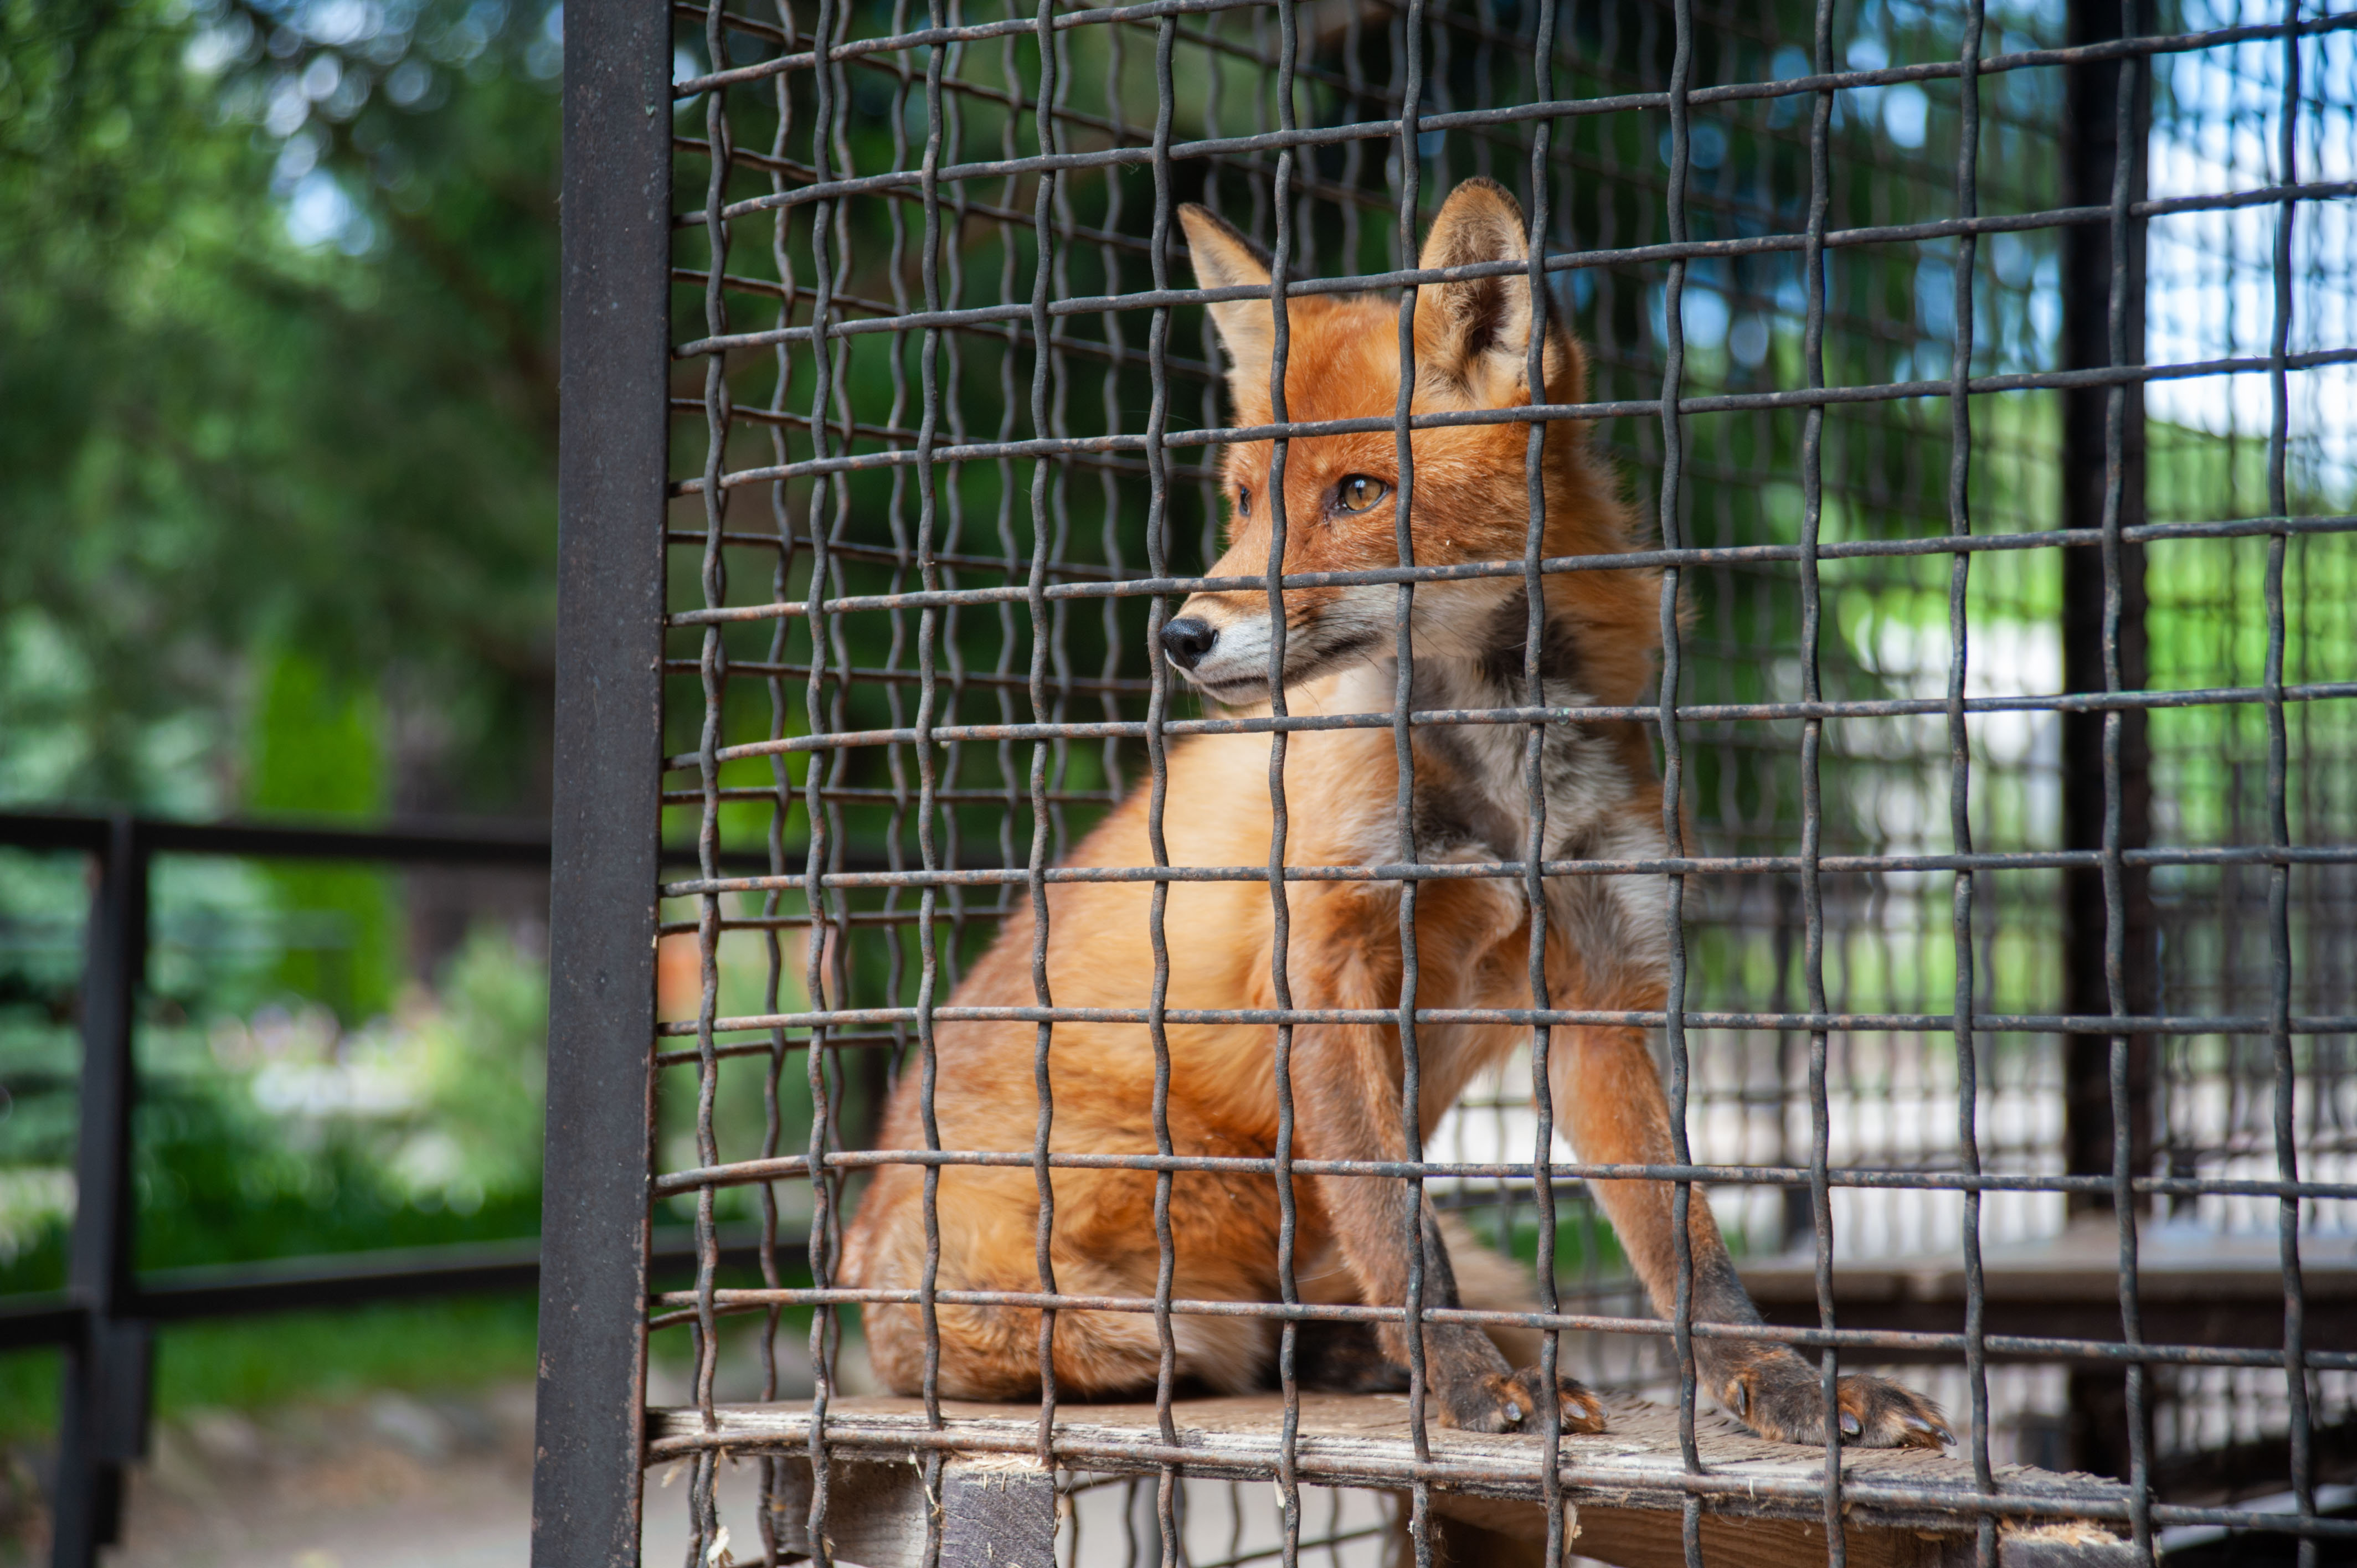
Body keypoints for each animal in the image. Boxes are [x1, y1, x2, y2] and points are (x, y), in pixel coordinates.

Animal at [848, 177, 1951, 1452]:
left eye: (1359, 493)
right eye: (1242, 504)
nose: (1180, 636)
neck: (1503, 778)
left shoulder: (1597, 982)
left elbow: (1690, 1246)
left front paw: (1780, 1381)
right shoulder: (1325, 964)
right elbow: (1396, 1225)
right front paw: (1463, 1380)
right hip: (1105, 1295)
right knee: (1203, 1345)